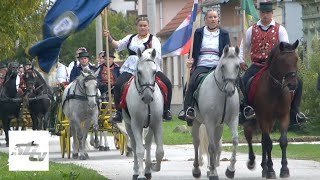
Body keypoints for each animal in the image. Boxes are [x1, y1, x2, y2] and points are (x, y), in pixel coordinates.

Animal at [123, 48, 165, 179]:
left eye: (154, 71)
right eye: (139, 72)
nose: (147, 97)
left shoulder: (156, 124)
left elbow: (159, 151)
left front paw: (153, 167)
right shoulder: (136, 125)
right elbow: (139, 150)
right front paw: (141, 174)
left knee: (147, 143)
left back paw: (147, 170)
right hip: (129, 125)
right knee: (134, 145)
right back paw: (137, 171)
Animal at [190, 45, 240, 179]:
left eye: (237, 66)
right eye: (223, 66)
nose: (230, 90)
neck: (222, 95)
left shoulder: (233, 120)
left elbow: (234, 141)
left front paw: (231, 170)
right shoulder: (209, 122)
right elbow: (211, 147)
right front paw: (212, 172)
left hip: (219, 126)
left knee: (217, 145)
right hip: (196, 122)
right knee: (197, 142)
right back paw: (196, 169)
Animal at [245, 40, 300, 179]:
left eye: (296, 59)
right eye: (282, 60)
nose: (292, 84)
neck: (275, 90)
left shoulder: (284, 116)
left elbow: (283, 141)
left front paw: (284, 169)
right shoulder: (264, 117)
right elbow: (269, 143)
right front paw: (271, 170)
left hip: (270, 121)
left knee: (262, 141)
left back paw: (264, 168)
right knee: (249, 136)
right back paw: (253, 162)